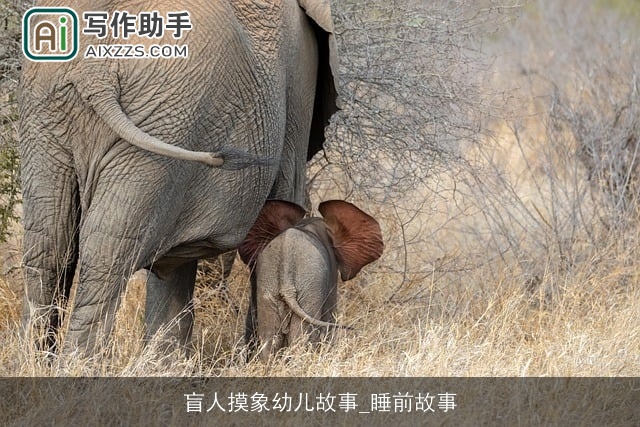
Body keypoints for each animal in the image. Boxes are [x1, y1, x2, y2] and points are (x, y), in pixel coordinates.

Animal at [19, 0, 339, 356]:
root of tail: (94, 76)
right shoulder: (299, 76)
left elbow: (173, 266)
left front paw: (165, 361)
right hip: (164, 124)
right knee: (105, 258)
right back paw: (78, 364)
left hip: (53, 117)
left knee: (49, 248)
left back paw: (39, 363)